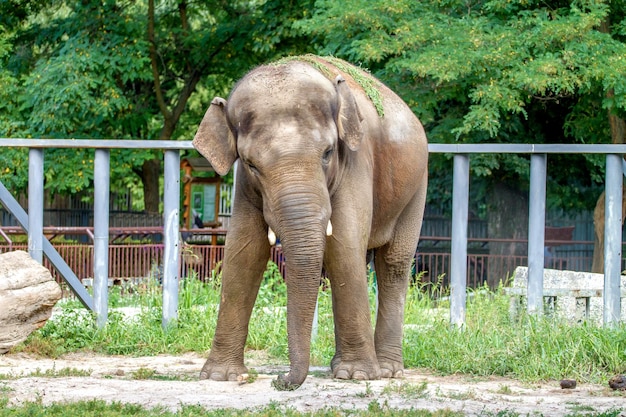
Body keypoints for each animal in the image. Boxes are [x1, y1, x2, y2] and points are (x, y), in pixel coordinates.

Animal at [193, 53, 426, 388]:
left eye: (328, 152)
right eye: (251, 164)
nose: (279, 379)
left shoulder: (356, 162)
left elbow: (343, 246)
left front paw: (358, 375)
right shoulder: (246, 187)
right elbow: (243, 252)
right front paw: (221, 377)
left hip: (417, 186)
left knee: (393, 263)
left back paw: (385, 370)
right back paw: (341, 366)